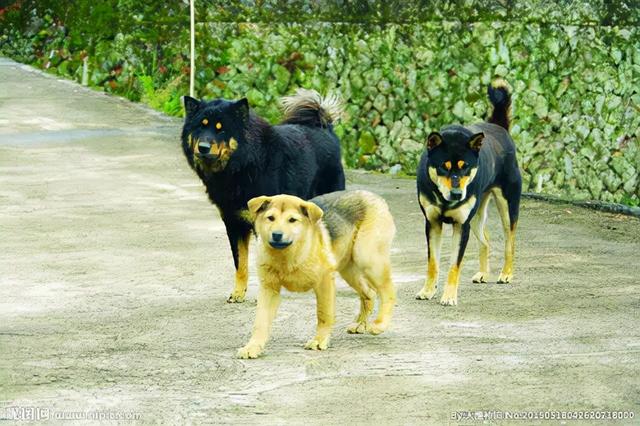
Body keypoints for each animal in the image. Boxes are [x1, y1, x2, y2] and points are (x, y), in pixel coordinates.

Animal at [181, 90, 344, 302]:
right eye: (201, 127)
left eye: (221, 129)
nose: (203, 147)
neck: (242, 166)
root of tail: (325, 128)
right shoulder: (234, 223)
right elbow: (240, 263)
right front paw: (238, 293)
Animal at [236, 191, 396, 358]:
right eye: (270, 218)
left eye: (292, 220)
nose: (277, 235)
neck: (288, 256)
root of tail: (373, 196)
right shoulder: (269, 289)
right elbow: (260, 322)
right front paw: (252, 347)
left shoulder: (324, 282)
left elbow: (323, 314)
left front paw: (319, 340)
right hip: (349, 270)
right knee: (369, 293)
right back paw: (361, 324)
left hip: (368, 259)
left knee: (388, 291)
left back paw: (380, 325)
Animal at [418, 80, 524, 306]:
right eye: (443, 167)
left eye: (465, 167)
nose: (457, 194)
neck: (444, 200)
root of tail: (499, 126)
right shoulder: (432, 223)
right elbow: (433, 263)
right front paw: (428, 290)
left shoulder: (461, 225)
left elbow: (454, 265)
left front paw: (449, 296)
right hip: (476, 216)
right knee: (486, 240)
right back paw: (483, 273)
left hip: (507, 207)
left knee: (509, 242)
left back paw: (506, 273)